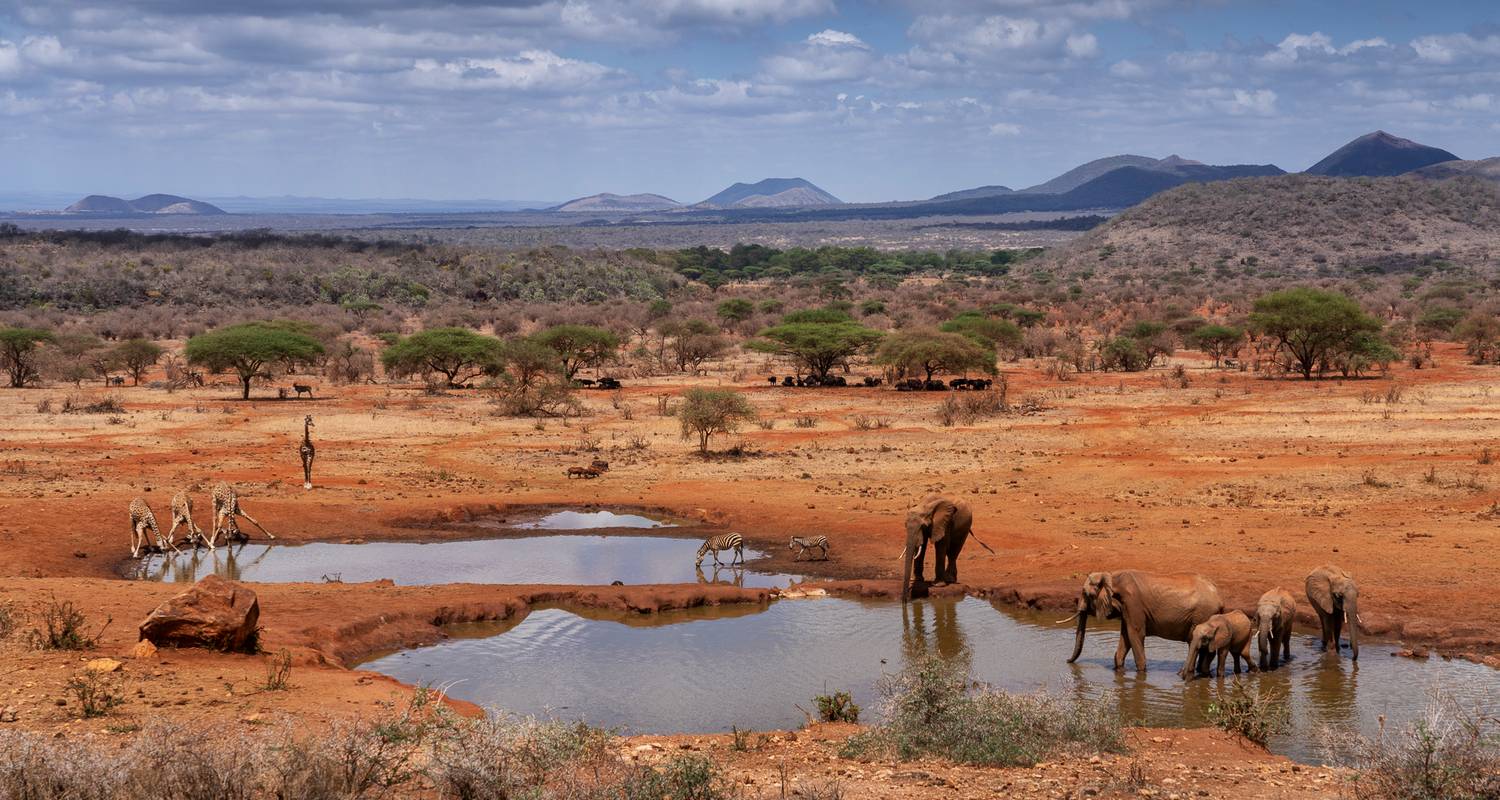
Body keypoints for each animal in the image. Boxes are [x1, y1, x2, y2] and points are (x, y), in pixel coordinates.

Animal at [1062, 567, 1224, 672]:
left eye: (1086, 593)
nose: (1067, 661)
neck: (1111, 576)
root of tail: (1219, 597)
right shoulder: (1127, 609)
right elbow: (1126, 637)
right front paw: (1119, 671)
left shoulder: (1133, 604)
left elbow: (1135, 635)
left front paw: (1141, 674)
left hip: (1202, 614)